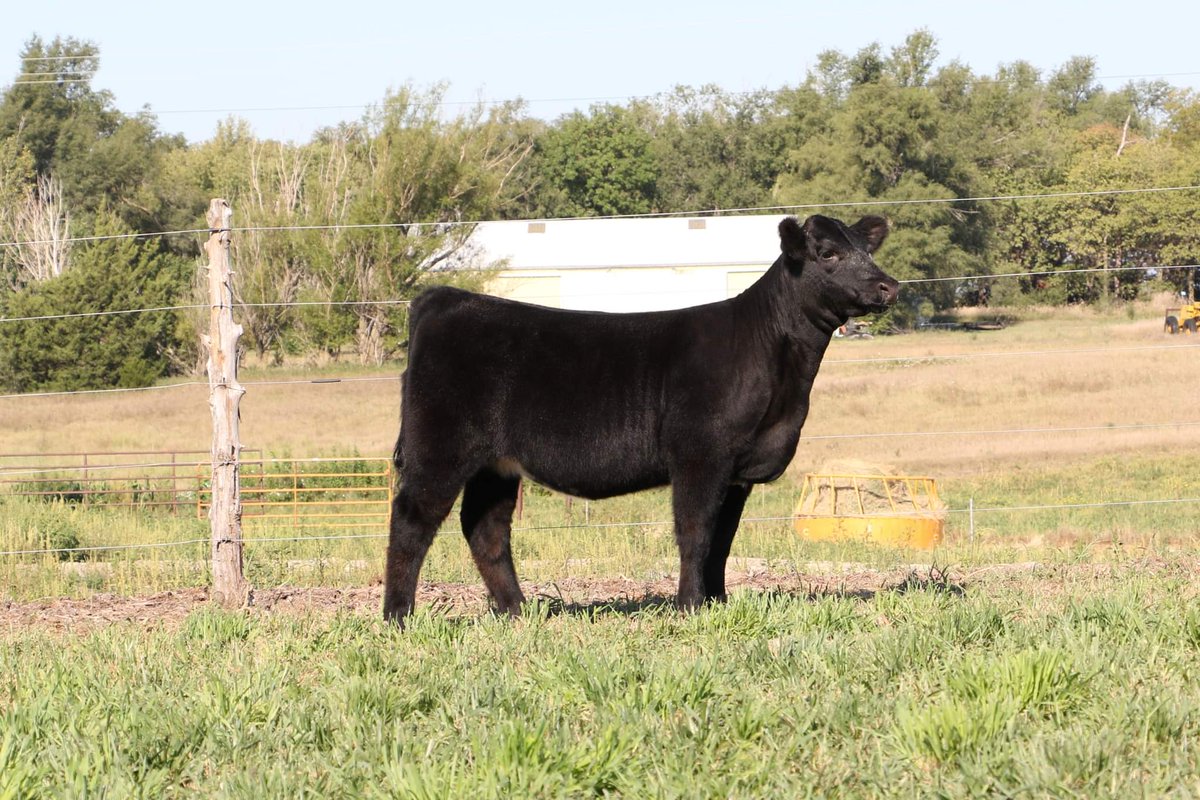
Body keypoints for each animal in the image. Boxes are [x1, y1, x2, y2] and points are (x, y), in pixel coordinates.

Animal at [384, 214, 899, 624]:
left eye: (866, 248)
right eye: (828, 253)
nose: (888, 286)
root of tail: (443, 299)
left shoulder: (737, 472)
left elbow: (723, 541)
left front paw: (717, 604)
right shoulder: (700, 455)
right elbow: (695, 533)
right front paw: (689, 606)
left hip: (496, 463)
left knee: (485, 528)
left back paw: (517, 611)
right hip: (440, 447)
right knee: (411, 521)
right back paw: (397, 617)